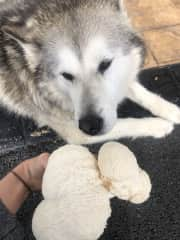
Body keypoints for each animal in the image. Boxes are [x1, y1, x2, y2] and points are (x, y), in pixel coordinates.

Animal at [0, 0, 179, 144]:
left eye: (105, 64)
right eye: (66, 75)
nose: (89, 125)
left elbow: (139, 91)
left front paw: (172, 110)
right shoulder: (75, 132)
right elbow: (128, 123)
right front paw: (158, 125)